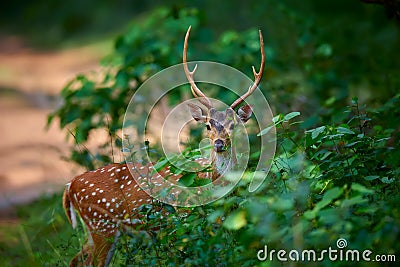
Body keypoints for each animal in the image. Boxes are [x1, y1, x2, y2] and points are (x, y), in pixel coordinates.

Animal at [63, 25, 266, 267]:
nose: (218, 143)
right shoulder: (184, 217)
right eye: (208, 125)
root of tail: (70, 186)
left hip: (96, 229)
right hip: (101, 223)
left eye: (233, 124)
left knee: (77, 258)